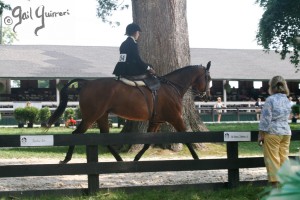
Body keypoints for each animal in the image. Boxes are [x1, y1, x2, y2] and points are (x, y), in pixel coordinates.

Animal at [47, 61, 211, 163]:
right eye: (208, 77)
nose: (207, 97)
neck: (172, 86)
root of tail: (87, 83)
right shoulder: (176, 118)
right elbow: (187, 138)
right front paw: (197, 159)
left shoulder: (156, 121)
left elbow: (147, 143)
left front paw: (136, 159)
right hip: (90, 117)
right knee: (76, 134)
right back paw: (66, 159)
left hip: (101, 116)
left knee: (105, 138)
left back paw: (119, 160)